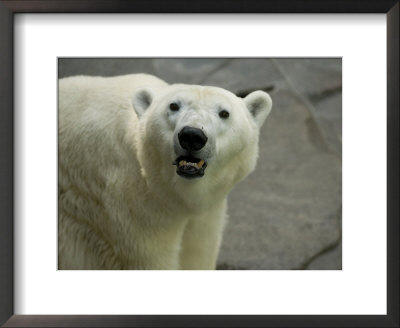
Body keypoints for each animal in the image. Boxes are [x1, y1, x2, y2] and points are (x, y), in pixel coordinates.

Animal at [58, 73, 272, 270]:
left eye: (224, 113)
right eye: (174, 106)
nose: (192, 136)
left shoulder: (208, 210)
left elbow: (198, 248)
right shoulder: (129, 207)